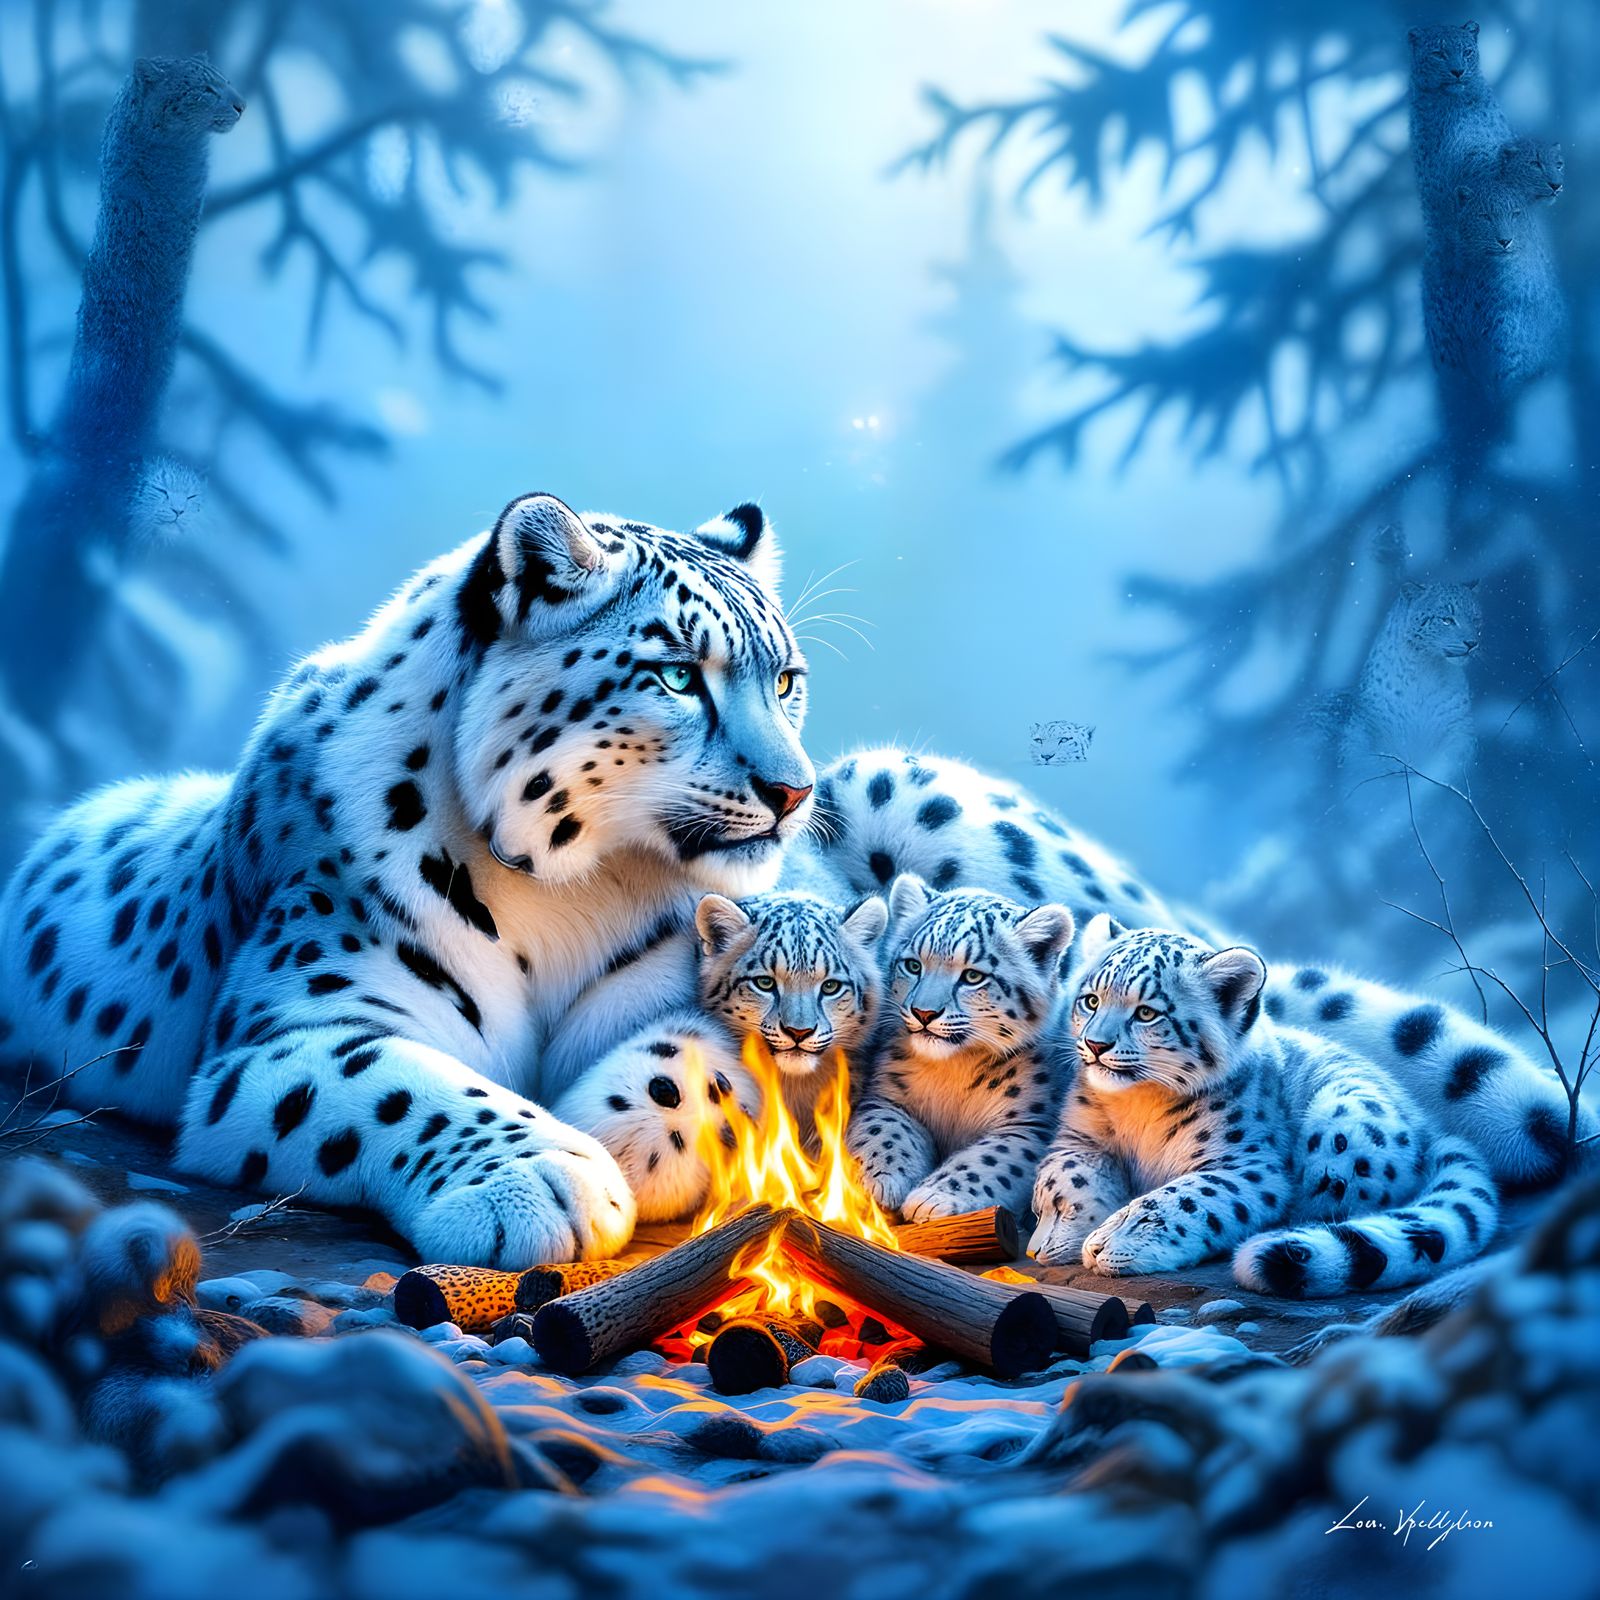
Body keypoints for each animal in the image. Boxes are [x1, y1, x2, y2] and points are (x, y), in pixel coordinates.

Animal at [0, 493, 817, 1267]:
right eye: (676, 675)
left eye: (785, 681)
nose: (794, 790)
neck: (579, 892)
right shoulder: (289, 1028)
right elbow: (397, 1082)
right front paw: (546, 1176)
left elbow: (705, 1051)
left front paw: (615, 1135)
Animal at [846, 873, 1075, 1223]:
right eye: (913, 965)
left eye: (973, 976)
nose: (924, 1013)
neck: (953, 1072)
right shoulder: (887, 1096)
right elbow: (884, 1131)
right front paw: (881, 1182)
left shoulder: (1029, 1125)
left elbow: (991, 1159)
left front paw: (932, 1198)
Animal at [1028, 915, 1503, 1296]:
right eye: (1091, 1000)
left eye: (1147, 1013)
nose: (1095, 1044)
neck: (1137, 1108)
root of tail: (1430, 1127)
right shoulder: (1078, 1137)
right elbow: (1065, 1175)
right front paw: (1059, 1235)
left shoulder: (1246, 1163)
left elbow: (1189, 1197)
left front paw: (1116, 1241)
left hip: (1343, 1129)